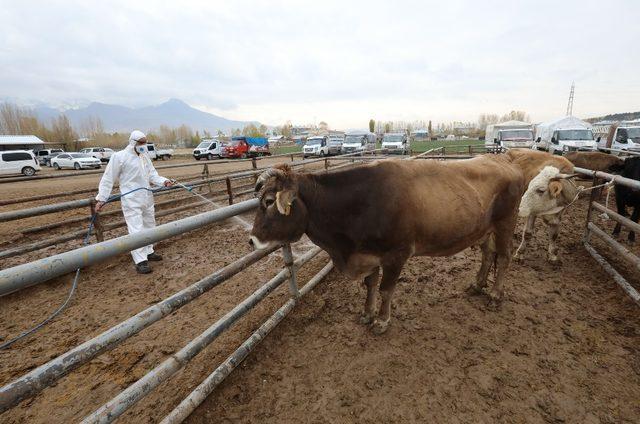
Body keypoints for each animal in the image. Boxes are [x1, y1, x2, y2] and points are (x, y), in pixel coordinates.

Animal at [250, 157, 524, 334]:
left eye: (269, 201)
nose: (251, 240)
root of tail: (507, 163)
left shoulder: (397, 254)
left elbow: (385, 290)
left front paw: (382, 321)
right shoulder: (368, 255)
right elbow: (370, 285)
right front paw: (367, 313)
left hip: (506, 223)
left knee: (505, 257)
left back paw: (495, 294)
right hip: (484, 229)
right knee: (488, 253)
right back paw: (477, 285)